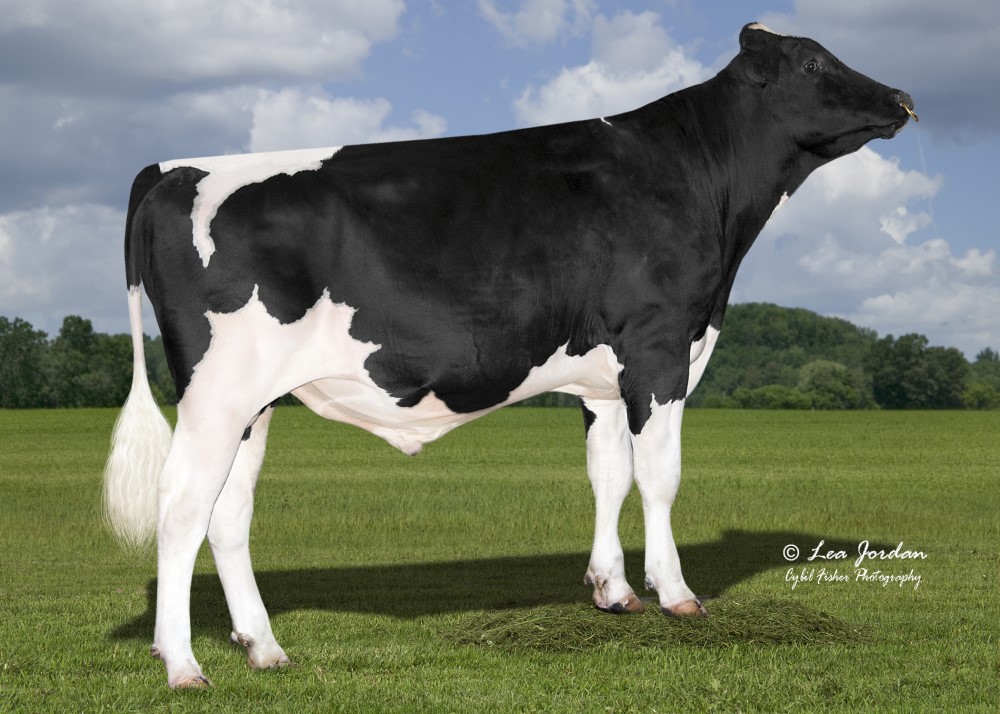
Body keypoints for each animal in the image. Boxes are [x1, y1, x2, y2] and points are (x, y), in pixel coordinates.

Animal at [104, 23, 915, 688]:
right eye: (812, 62)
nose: (905, 98)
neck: (700, 182)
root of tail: (172, 169)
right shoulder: (660, 349)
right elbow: (659, 477)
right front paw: (677, 595)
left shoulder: (603, 378)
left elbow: (608, 475)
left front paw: (613, 591)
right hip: (217, 391)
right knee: (181, 505)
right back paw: (183, 664)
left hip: (254, 402)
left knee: (228, 512)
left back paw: (264, 648)